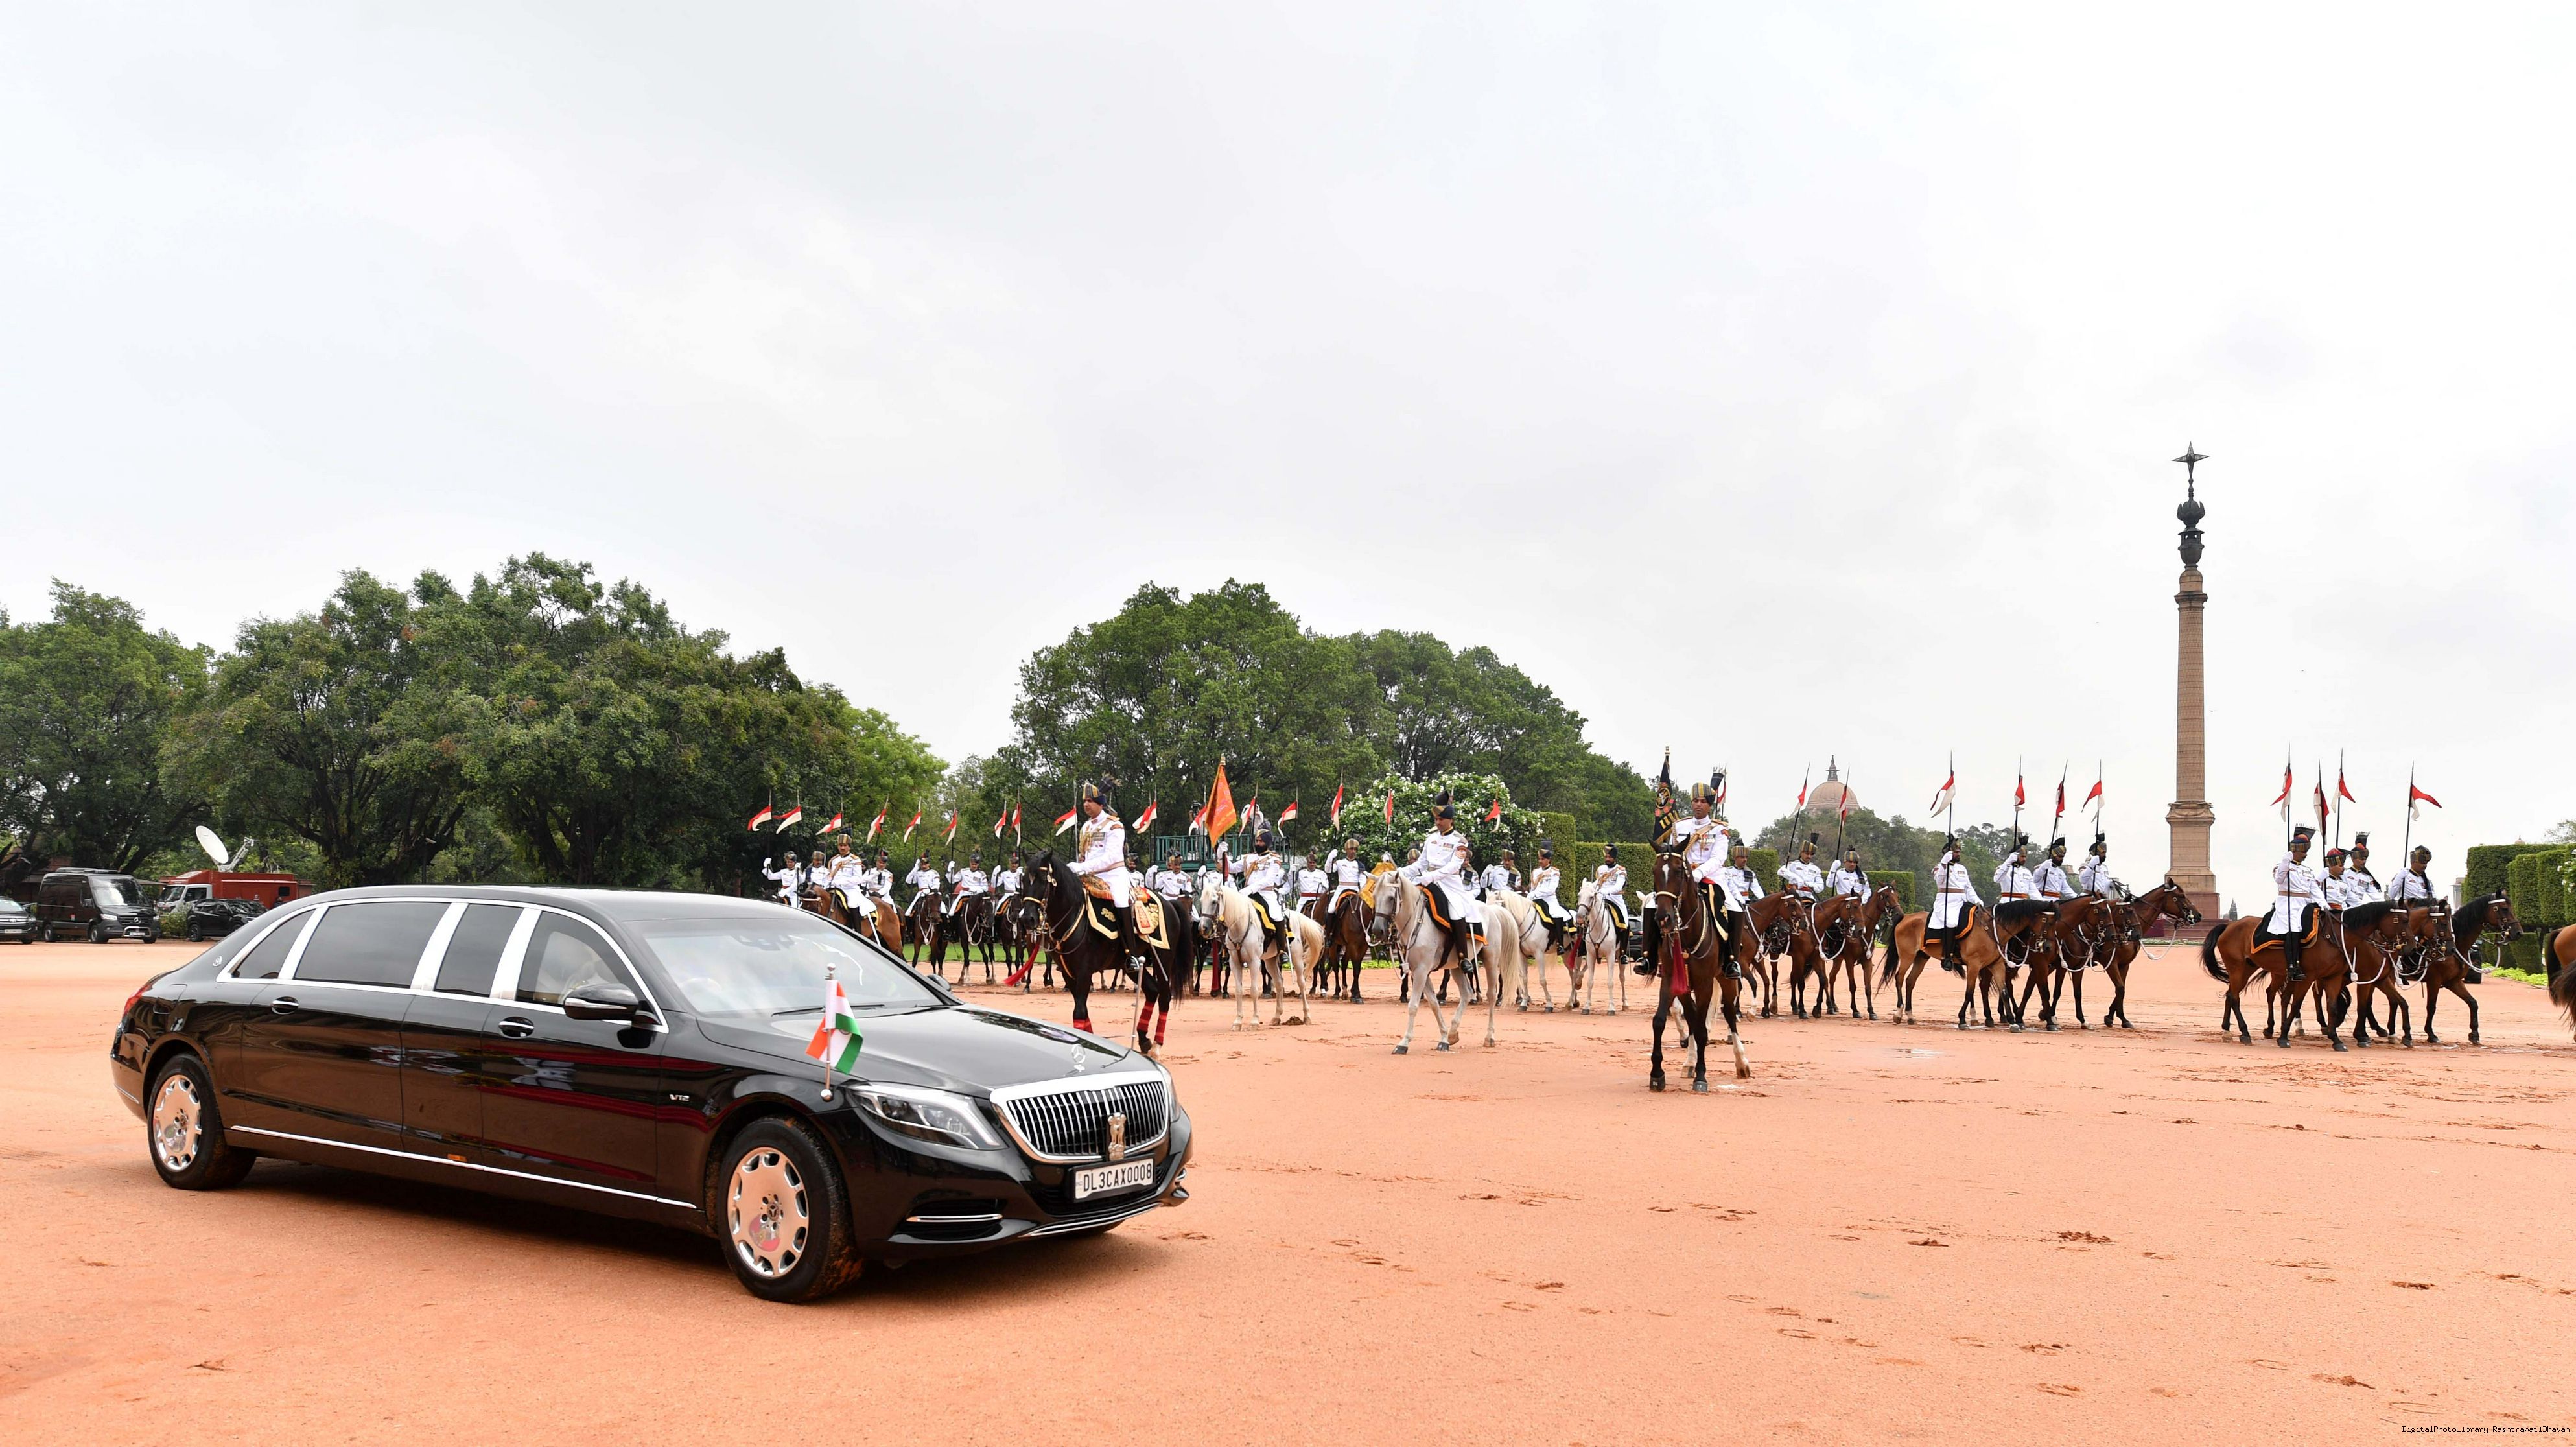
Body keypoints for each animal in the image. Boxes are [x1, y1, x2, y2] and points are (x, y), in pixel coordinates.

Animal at [1196, 875, 1316, 1029]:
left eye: (1214, 901)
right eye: (1201, 901)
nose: (1203, 928)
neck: (1240, 925)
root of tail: (1294, 914)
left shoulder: (1254, 962)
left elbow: (1254, 990)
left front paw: (1254, 1021)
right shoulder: (1235, 963)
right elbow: (1239, 990)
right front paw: (1238, 1021)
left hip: (1296, 957)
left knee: (1301, 982)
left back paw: (1307, 1016)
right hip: (1270, 960)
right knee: (1279, 983)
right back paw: (1277, 1017)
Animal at [1645, 853, 1749, 1091]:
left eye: (1678, 872)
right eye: (1655, 870)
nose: (1663, 918)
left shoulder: (1704, 983)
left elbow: (1701, 1027)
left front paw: (1701, 1076)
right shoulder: (1673, 981)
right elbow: (1661, 1021)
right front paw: (1657, 1074)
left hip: (1726, 978)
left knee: (1729, 1012)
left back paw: (1741, 1061)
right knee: (1694, 1016)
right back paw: (1690, 1062)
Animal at [1882, 903, 2018, 1029]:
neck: (1991, 929)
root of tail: (1906, 917)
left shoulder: (1996, 965)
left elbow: (2003, 991)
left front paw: (2012, 1021)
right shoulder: (1975, 964)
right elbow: (1970, 991)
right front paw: (1964, 1019)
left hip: (1921, 958)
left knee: (1910, 981)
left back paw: (1910, 1016)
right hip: (1907, 956)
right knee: (1899, 978)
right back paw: (1898, 1013)